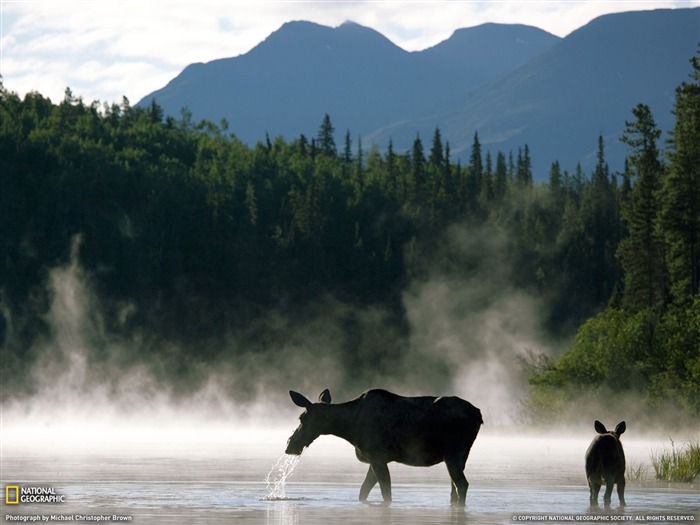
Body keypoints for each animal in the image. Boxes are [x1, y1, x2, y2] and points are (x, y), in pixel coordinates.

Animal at [284, 388, 482, 504]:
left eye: (301, 418)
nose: (290, 445)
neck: (349, 428)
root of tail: (479, 415)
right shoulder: (373, 459)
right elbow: (363, 492)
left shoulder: (377, 456)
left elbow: (386, 492)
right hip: (462, 455)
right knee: (454, 489)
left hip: (453, 453)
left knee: (462, 484)